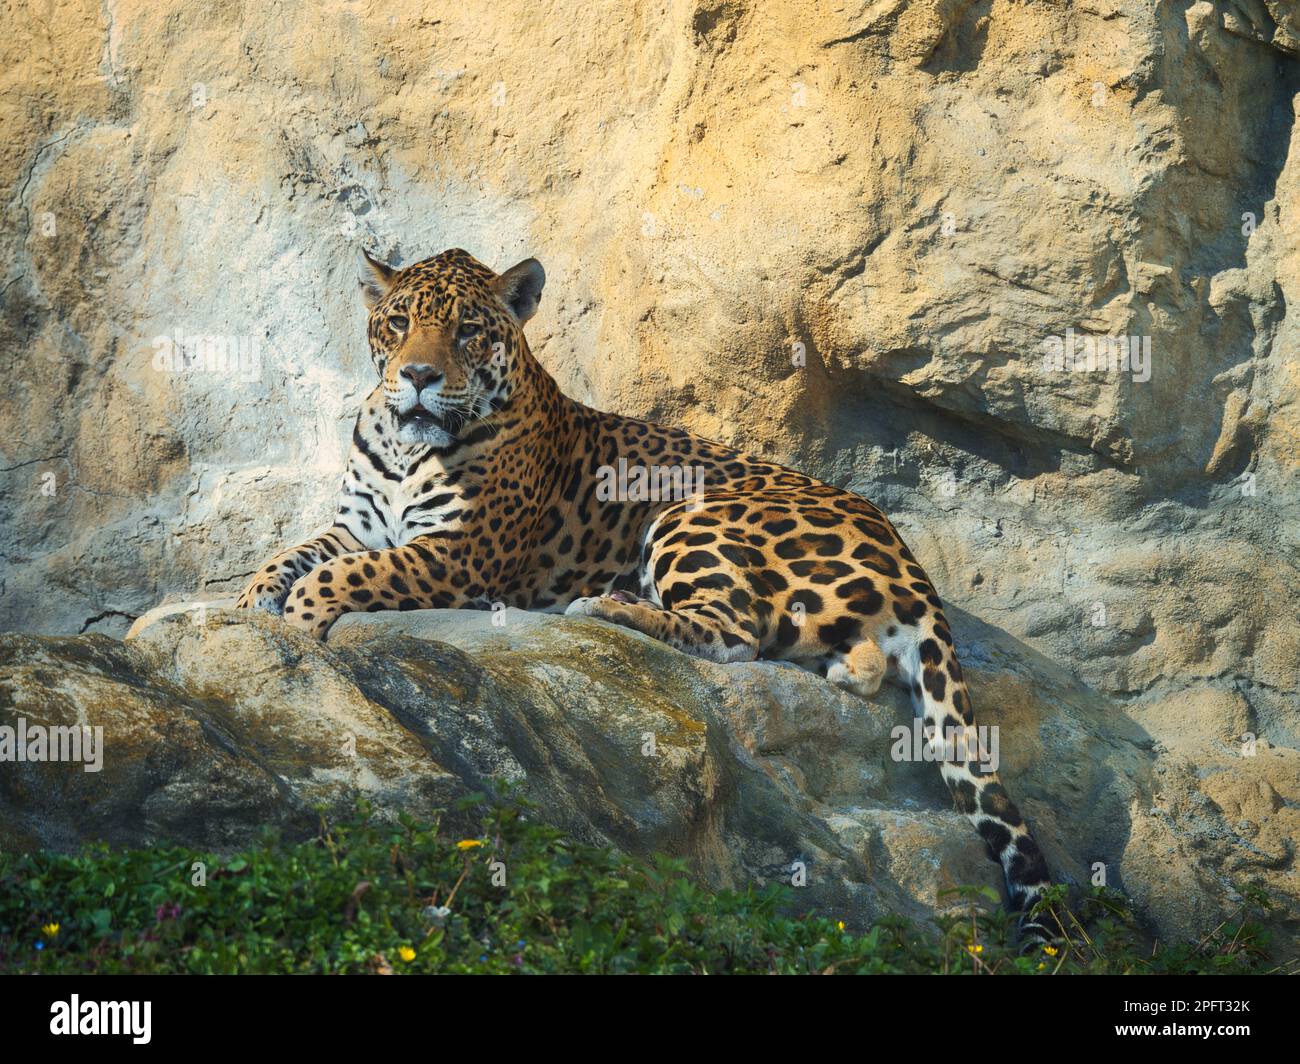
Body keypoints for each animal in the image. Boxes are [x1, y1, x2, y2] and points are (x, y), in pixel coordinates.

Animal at [237, 246, 1056, 940]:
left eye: (467, 331)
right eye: (399, 322)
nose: (416, 376)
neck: (405, 447)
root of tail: (910, 561)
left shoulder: (461, 554)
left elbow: (346, 576)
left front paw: (300, 619)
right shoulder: (357, 526)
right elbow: (291, 554)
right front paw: (252, 607)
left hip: (691, 511)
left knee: (735, 629)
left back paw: (610, 607)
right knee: (847, 661)